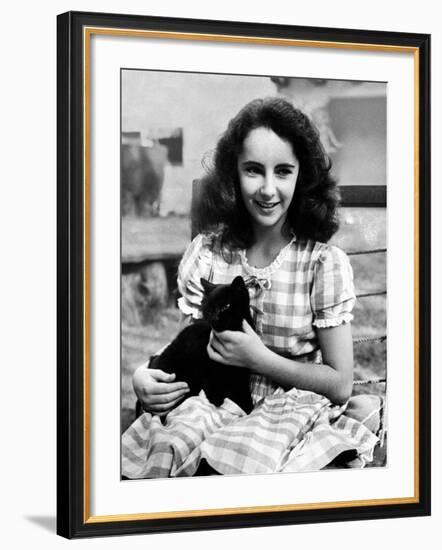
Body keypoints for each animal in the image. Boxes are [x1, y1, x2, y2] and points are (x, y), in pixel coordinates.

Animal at [149, 278, 254, 416]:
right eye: (209, 309)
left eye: (226, 306)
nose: (215, 317)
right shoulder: (207, 365)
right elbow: (213, 380)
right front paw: (217, 398)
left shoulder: (242, 369)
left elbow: (242, 387)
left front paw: (248, 405)